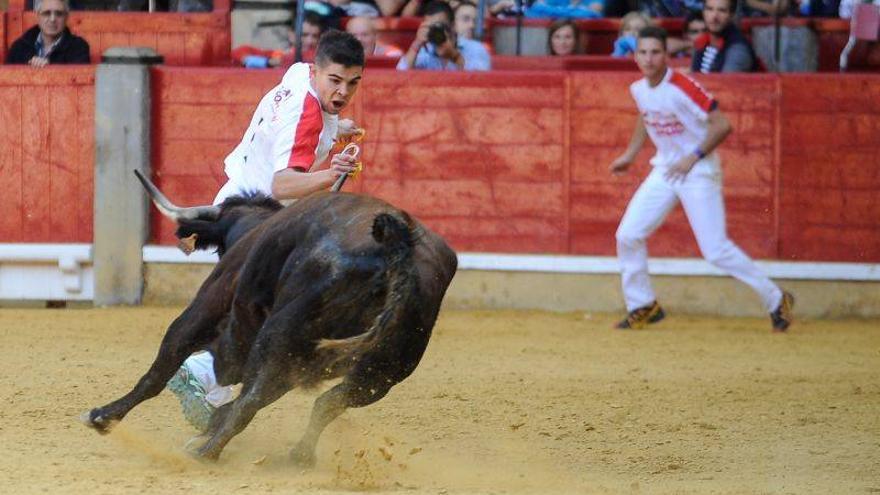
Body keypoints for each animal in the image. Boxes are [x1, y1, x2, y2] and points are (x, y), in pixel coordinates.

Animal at [82, 172, 458, 466]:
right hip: (383, 369)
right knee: (326, 402)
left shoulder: (207, 306)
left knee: (251, 399)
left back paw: (206, 452)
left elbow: (162, 366)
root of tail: (396, 247)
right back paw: (298, 454)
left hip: (280, 333)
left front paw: (102, 416)